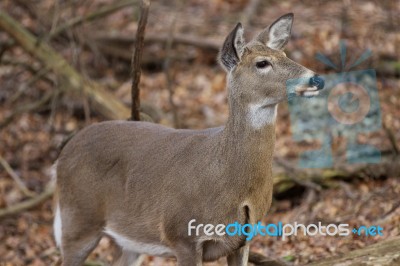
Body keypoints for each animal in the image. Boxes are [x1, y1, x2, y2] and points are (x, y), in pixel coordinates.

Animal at [52, 13, 324, 266]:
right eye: (262, 63)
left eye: (285, 53)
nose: (316, 78)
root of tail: (60, 158)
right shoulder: (182, 234)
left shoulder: (244, 239)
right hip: (79, 220)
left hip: (127, 240)